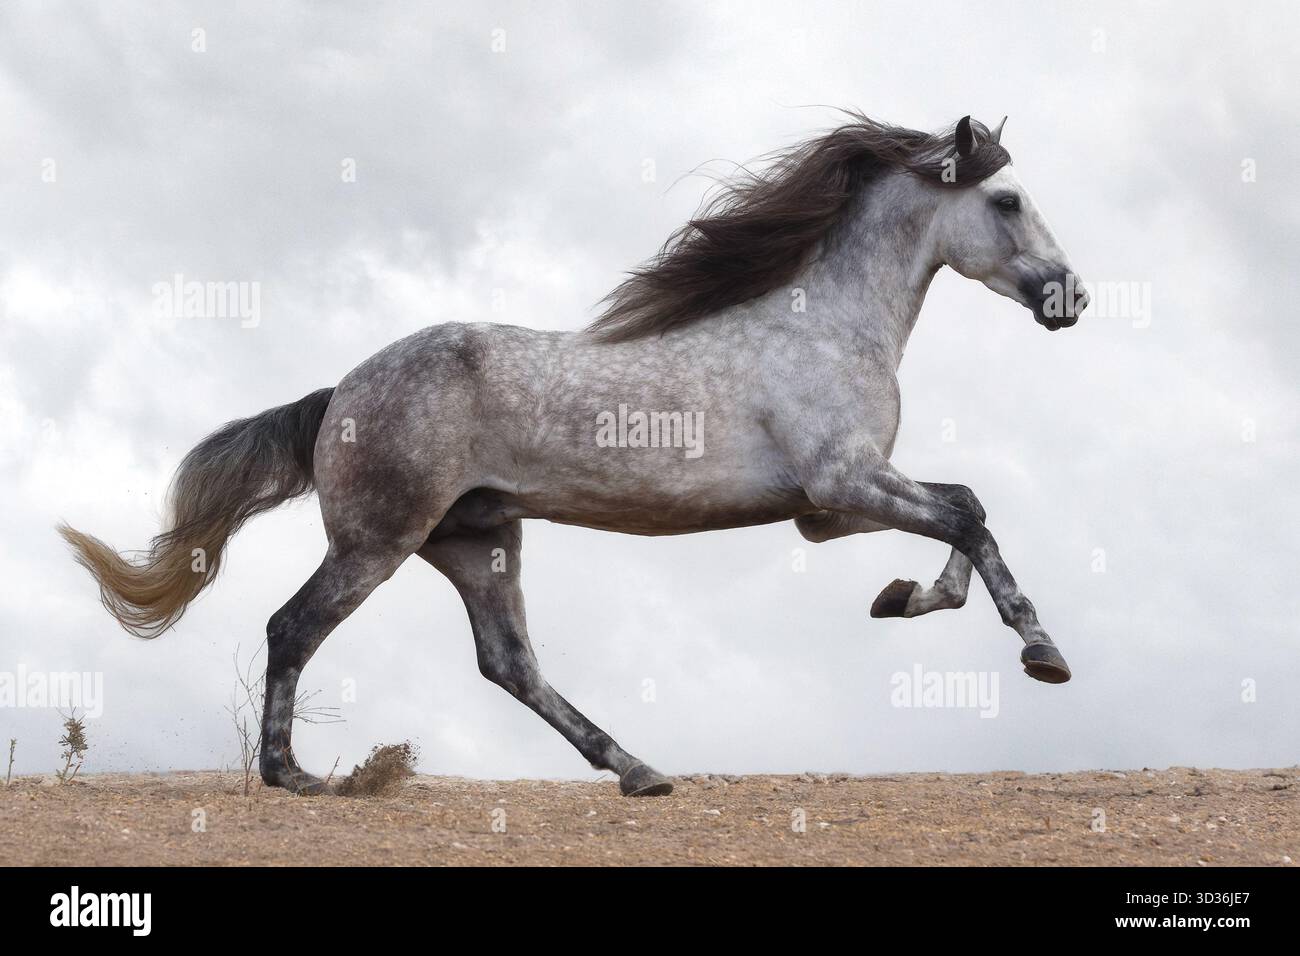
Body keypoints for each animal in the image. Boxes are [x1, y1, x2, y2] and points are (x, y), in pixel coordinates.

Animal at [60, 113, 1088, 797]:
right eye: (1006, 200)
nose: (1068, 298)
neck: (828, 328)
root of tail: (338, 395)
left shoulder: (828, 510)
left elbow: (965, 507)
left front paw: (904, 598)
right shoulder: (843, 485)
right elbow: (968, 516)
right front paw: (1041, 653)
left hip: (477, 541)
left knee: (508, 664)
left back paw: (637, 769)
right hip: (379, 542)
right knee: (294, 627)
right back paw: (293, 775)